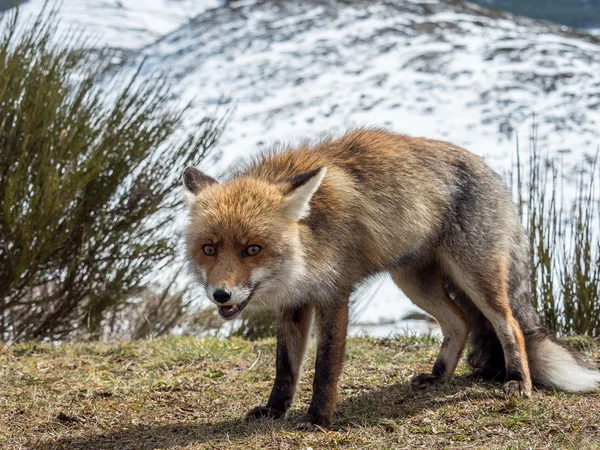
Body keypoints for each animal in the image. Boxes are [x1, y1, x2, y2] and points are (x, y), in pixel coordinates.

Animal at [183, 127, 600, 428]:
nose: (221, 295)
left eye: (252, 249)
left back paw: (518, 382)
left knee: (510, 326)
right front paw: (275, 411)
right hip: (413, 282)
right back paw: (438, 377)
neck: (310, 237)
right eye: (210, 249)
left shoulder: (334, 293)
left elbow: (325, 368)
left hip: (476, 277)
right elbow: (285, 368)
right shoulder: (294, 302)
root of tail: (492, 173)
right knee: (461, 322)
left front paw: (318, 420)